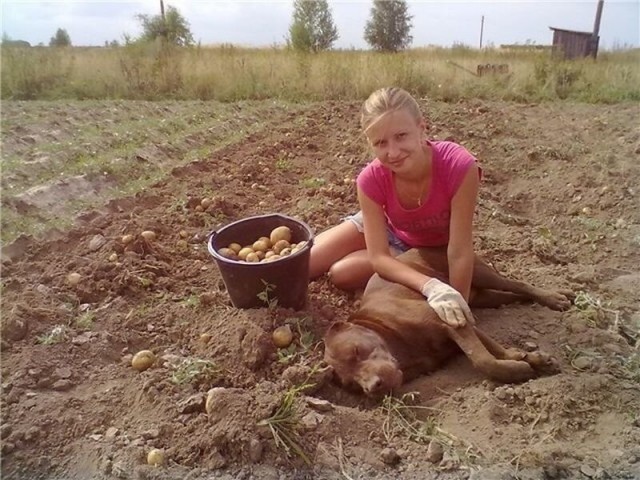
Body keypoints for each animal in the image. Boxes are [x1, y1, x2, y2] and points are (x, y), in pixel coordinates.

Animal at [322, 246, 572, 396]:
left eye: (356, 351)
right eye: (351, 384)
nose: (373, 388)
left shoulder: (449, 321)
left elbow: (483, 359)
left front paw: (518, 368)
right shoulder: (460, 322)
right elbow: (493, 350)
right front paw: (527, 359)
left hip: (480, 272)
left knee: (517, 284)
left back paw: (554, 298)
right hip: (483, 296)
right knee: (511, 295)